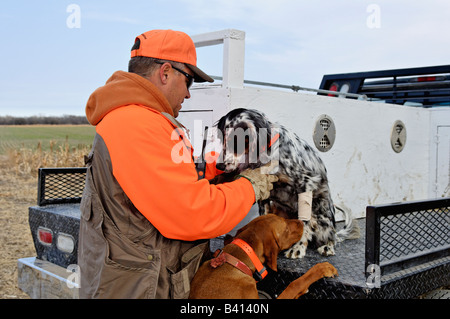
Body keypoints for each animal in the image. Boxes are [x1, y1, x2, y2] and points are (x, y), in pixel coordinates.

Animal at [212, 109, 358, 258]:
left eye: (236, 140)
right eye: (223, 138)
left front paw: (298, 247)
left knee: (331, 235)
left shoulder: (305, 184)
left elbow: (303, 223)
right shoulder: (264, 190)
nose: (219, 166)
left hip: (321, 213)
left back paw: (327, 246)